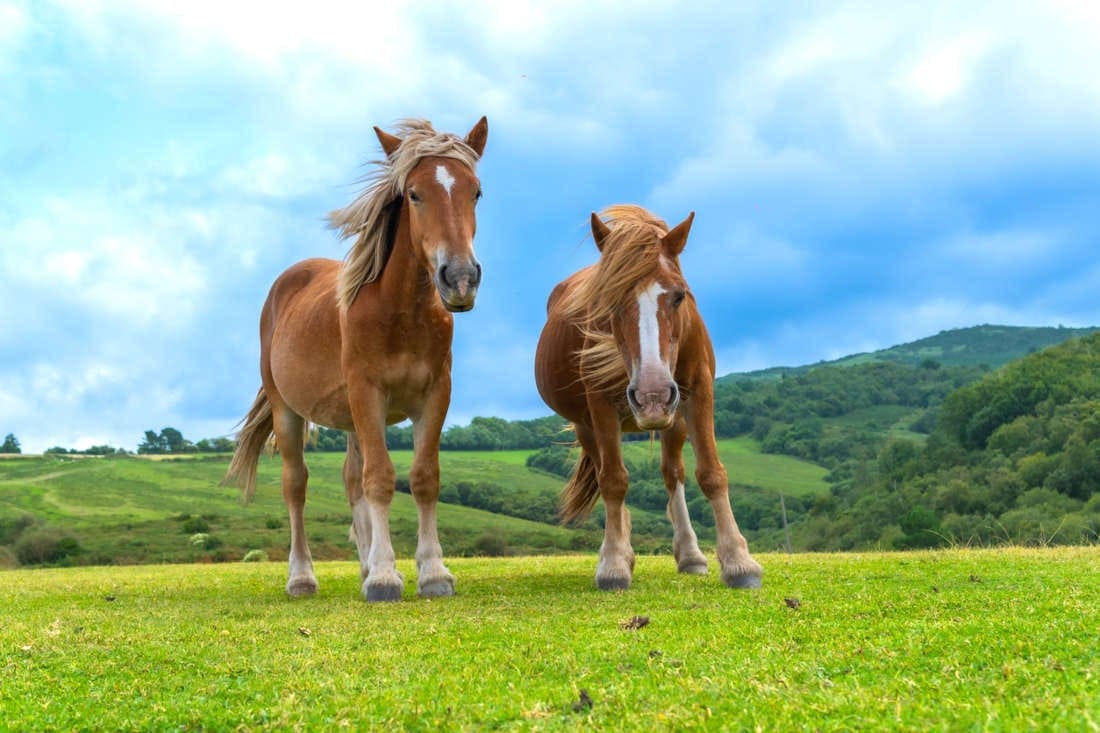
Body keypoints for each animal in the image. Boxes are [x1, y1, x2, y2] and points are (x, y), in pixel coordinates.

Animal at [223, 117, 488, 602]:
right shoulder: (369, 393)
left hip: (351, 419)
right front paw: (385, 577)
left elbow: (423, 478)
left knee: (351, 480)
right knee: (296, 485)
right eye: (415, 194)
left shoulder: (435, 395)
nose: (460, 278)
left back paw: (364, 565)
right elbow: (380, 479)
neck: (400, 312)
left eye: (476, 191)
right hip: (289, 410)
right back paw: (302, 577)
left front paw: (431, 573)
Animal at [534, 205, 763, 591]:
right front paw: (614, 564)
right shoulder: (599, 405)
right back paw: (619, 550)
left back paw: (690, 555)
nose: (652, 395)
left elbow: (711, 473)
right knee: (605, 474)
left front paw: (739, 562)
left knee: (673, 474)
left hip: (675, 419)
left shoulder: (698, 392)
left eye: (680, 295)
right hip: (587, 426)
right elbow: (614, 481)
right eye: (608, 301)